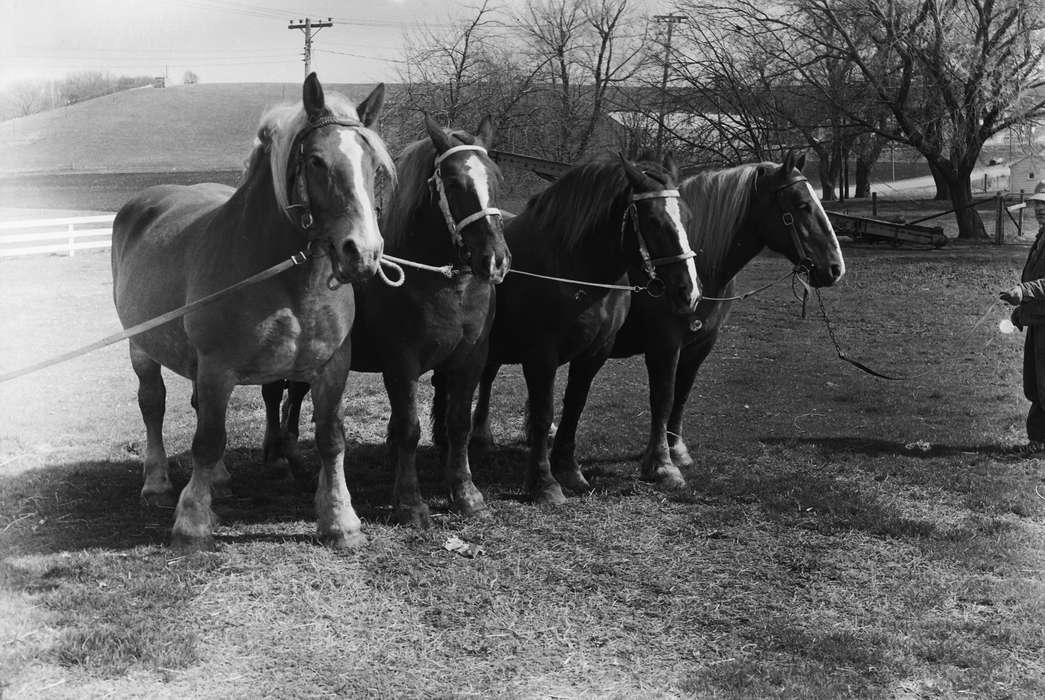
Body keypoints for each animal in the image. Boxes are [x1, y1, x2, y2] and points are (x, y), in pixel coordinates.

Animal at [111, 74, 395, 549]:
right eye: (316, 161)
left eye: (374, 163)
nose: (364, 254)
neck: (287, 280)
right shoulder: (217, 368)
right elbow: (207, 439)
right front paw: (192, 524)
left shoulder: (333, 367)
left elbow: (331, 438)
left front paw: (340, 520)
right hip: (141, 348)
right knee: (153, 405)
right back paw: (156, 483)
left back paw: (220, 480)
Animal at [261, 114, 510, 528]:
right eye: (454, 183)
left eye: (496, 179)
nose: (495, 260)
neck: (446, 284)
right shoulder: (401, 363)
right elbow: (409, 428)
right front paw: (410, 503)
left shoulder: (471, 360)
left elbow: (458, 424)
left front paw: (466, 494)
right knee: (273, 394)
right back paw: (275, 457)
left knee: (294, 395)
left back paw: (293, 453)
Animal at [459, 153, 702, 505]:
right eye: (654, 221)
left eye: (688, 216)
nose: (690, 291)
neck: (575, 271)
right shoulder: (542, 355)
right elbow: (544, 411)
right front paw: (544, 483)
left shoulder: (594, 353)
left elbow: (574, 406)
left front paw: (568, 469)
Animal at [539, 151, 846, 490]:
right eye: (802, 205)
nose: (835, 268)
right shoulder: (664, 345)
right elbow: (663, 396)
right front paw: (662, 465)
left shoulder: (699, 345)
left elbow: (682, 393)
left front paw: (677, 450)